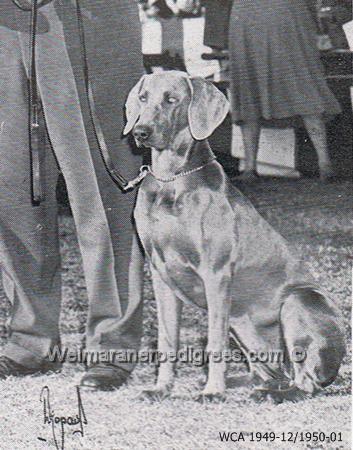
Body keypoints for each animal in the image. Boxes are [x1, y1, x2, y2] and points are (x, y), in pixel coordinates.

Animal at [121, 70, 344, 400]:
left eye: (172, 99)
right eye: (143, 97)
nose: (140, 131)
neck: (170, 181)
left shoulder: (216, 274)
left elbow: (214, 341)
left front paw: (213, 391)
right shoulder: (161, 275)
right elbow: (167, 340)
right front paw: (162, 387)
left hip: (297, 302)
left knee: (305, 382)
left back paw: (270, 394)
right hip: (242, 323)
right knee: (268, 374)